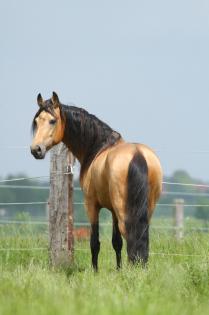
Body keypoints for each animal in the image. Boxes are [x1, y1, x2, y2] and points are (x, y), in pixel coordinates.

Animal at [31, 92, 162, 272]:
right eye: (37, 121)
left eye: (52, 121)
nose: (35, 149)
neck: (99, 147)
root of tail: (137, 154)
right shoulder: (113, 211)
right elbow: (116, 243)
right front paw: (118, 270)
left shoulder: (92, 205)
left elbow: (95, 243)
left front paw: (95, 271)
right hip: (147, 206)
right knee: (141, 234)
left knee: (130, 234)